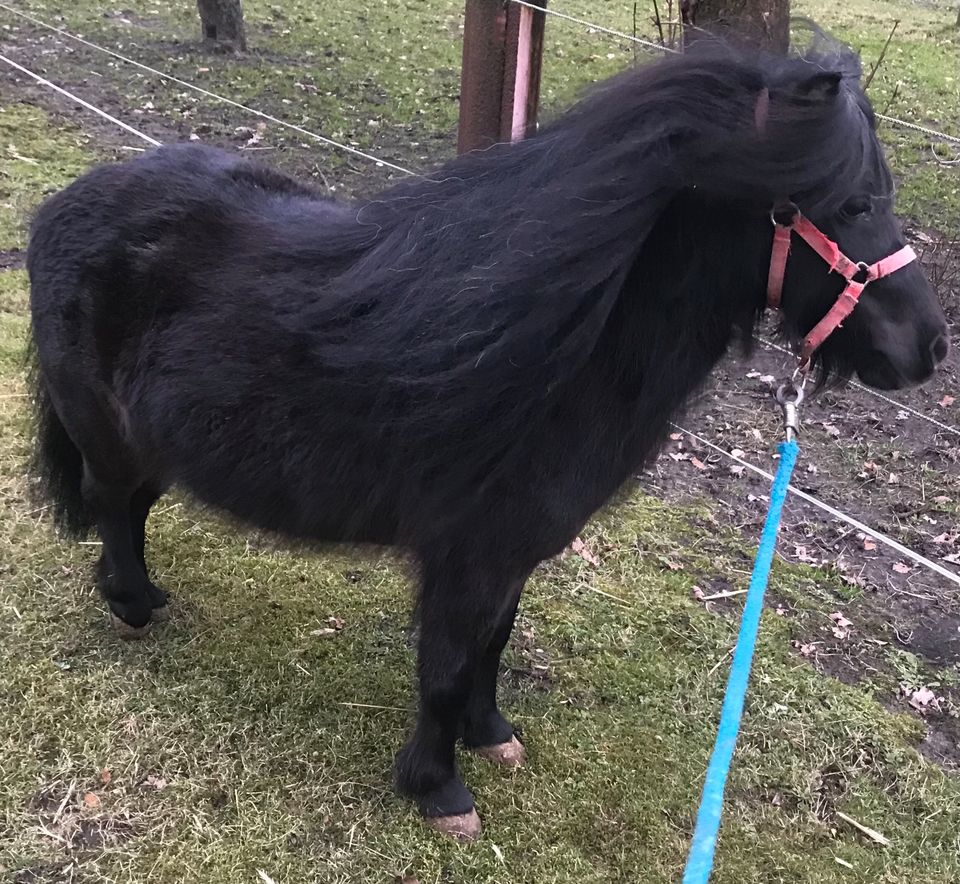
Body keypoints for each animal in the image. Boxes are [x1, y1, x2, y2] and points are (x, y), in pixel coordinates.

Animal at [26, 36, 948, 836]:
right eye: (855, 204)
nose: (931, 348)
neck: (554, 352)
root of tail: (62, 207)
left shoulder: (511, 554)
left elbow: (491, 647)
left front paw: (491, 733)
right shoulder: (464, 557)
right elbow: (443, 666)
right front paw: (438, 789)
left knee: (134, 507)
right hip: (106, 432)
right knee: (112, 503)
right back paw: (131, 602)